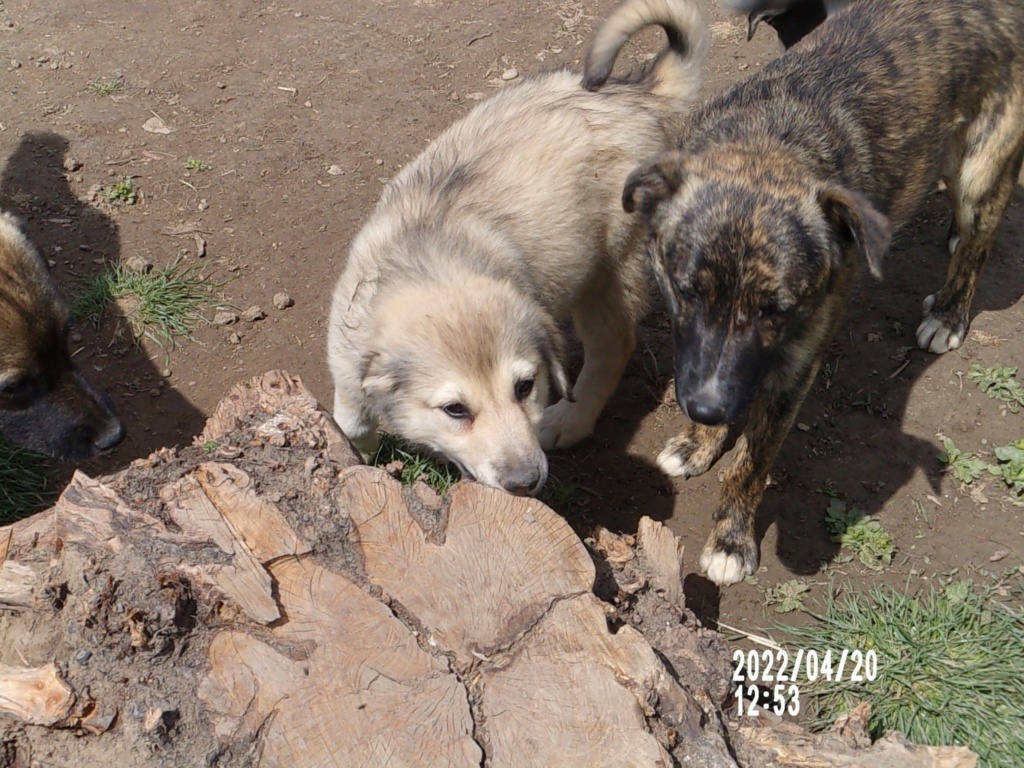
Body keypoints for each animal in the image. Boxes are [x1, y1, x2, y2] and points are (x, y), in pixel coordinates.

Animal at [622, 0, 1024, 581]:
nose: (707, 409)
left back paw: (949, 312)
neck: (770, 143)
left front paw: (730, 541)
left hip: (983, 167)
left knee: (980, 241)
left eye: (777, 309)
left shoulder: (793, 367)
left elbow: (752, 464)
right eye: (685, 292)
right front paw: (699, 443)